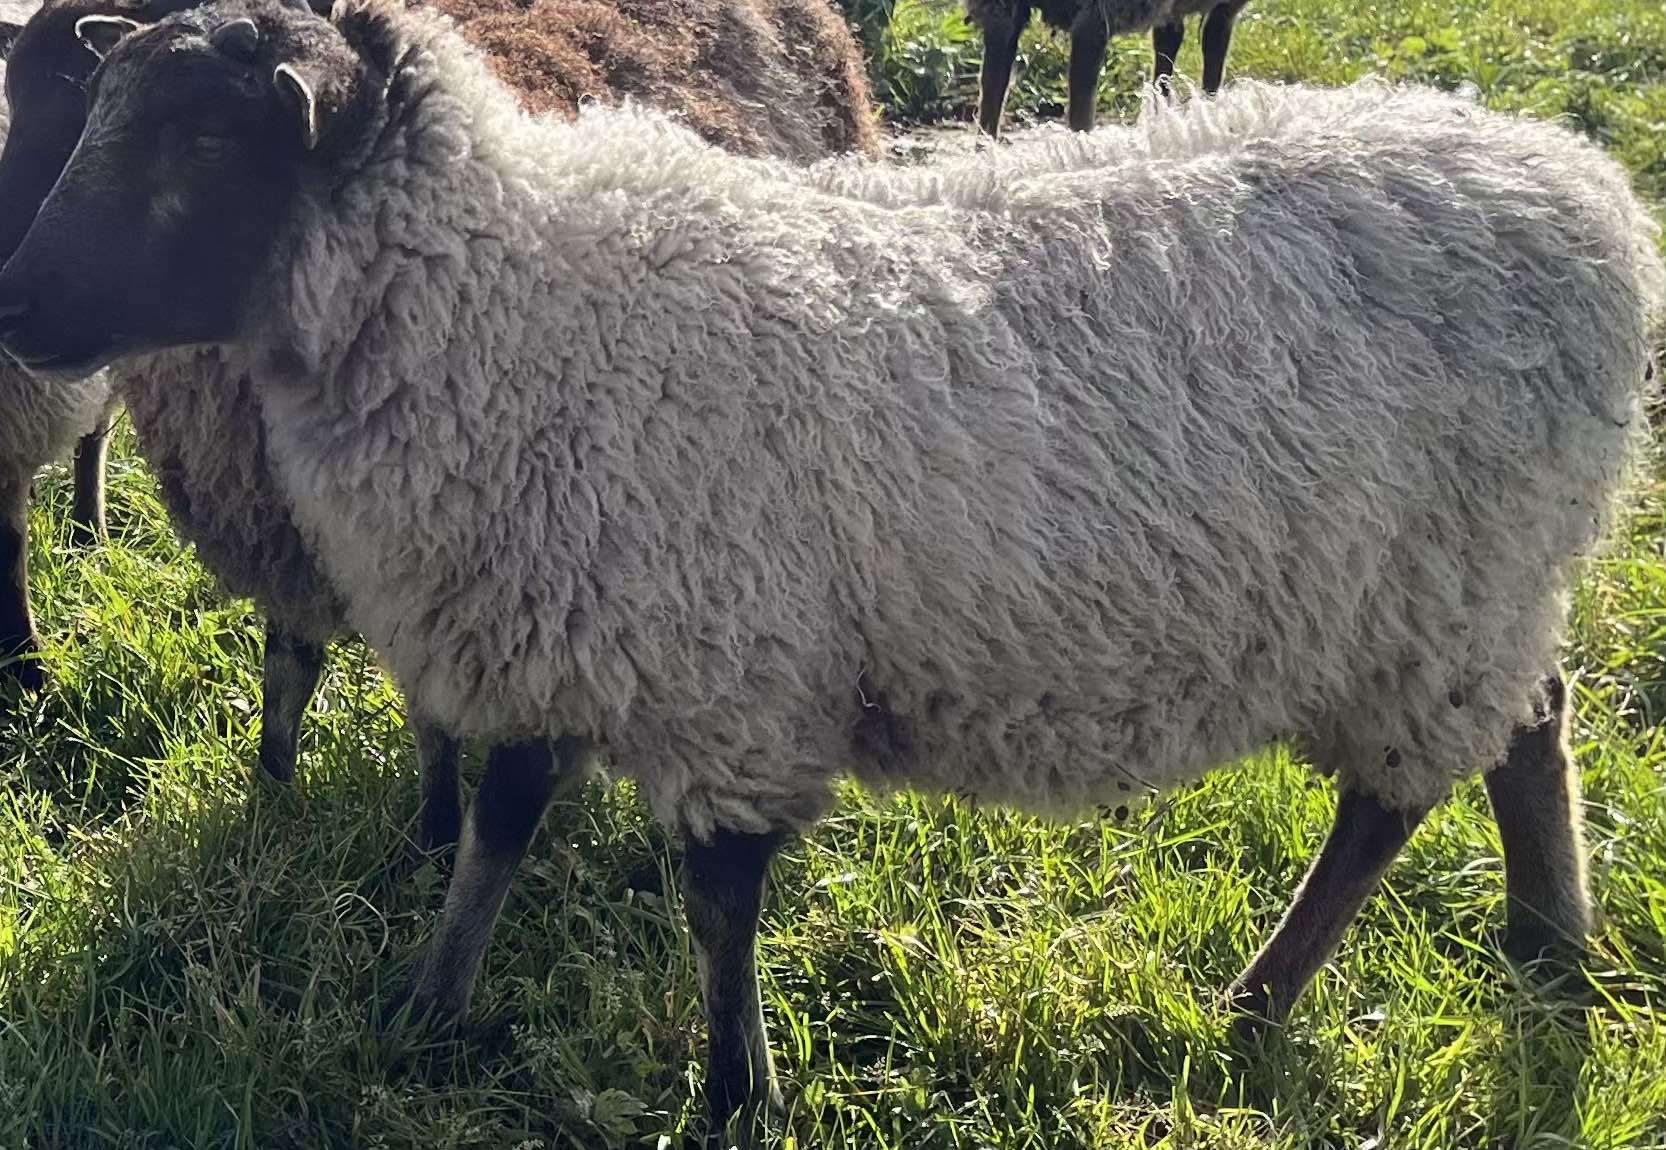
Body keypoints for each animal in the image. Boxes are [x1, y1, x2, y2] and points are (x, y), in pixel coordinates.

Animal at [0, 0, 877, 841]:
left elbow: (431, 718)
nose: (16, 301)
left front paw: (433, 838)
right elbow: (287, 668)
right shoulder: (296, 535)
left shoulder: (445, 550)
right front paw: (270, 799)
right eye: (72, 105)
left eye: (208, 142)